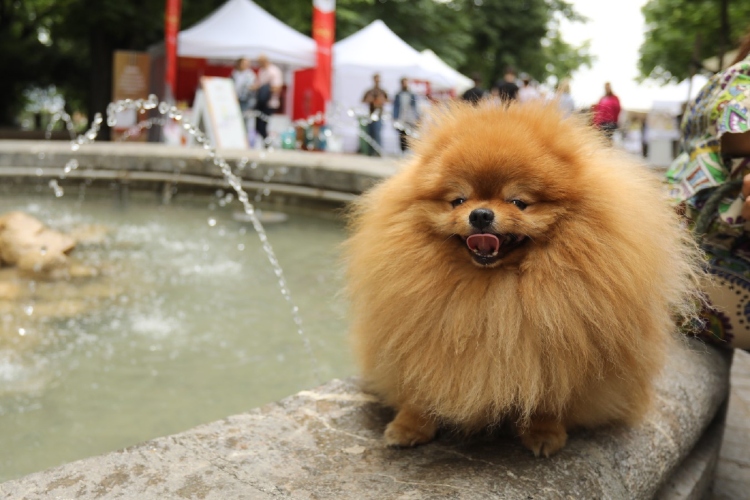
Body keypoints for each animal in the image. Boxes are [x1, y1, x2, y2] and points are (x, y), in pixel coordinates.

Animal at [346, 100, 704, 458]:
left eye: (518, 202)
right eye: (458, 200)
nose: (481, 214)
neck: (494, 288)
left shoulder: (555, 353)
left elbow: (551, 397)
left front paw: (543, 432)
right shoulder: (421, 338)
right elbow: (419, 388)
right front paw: (409, 425)